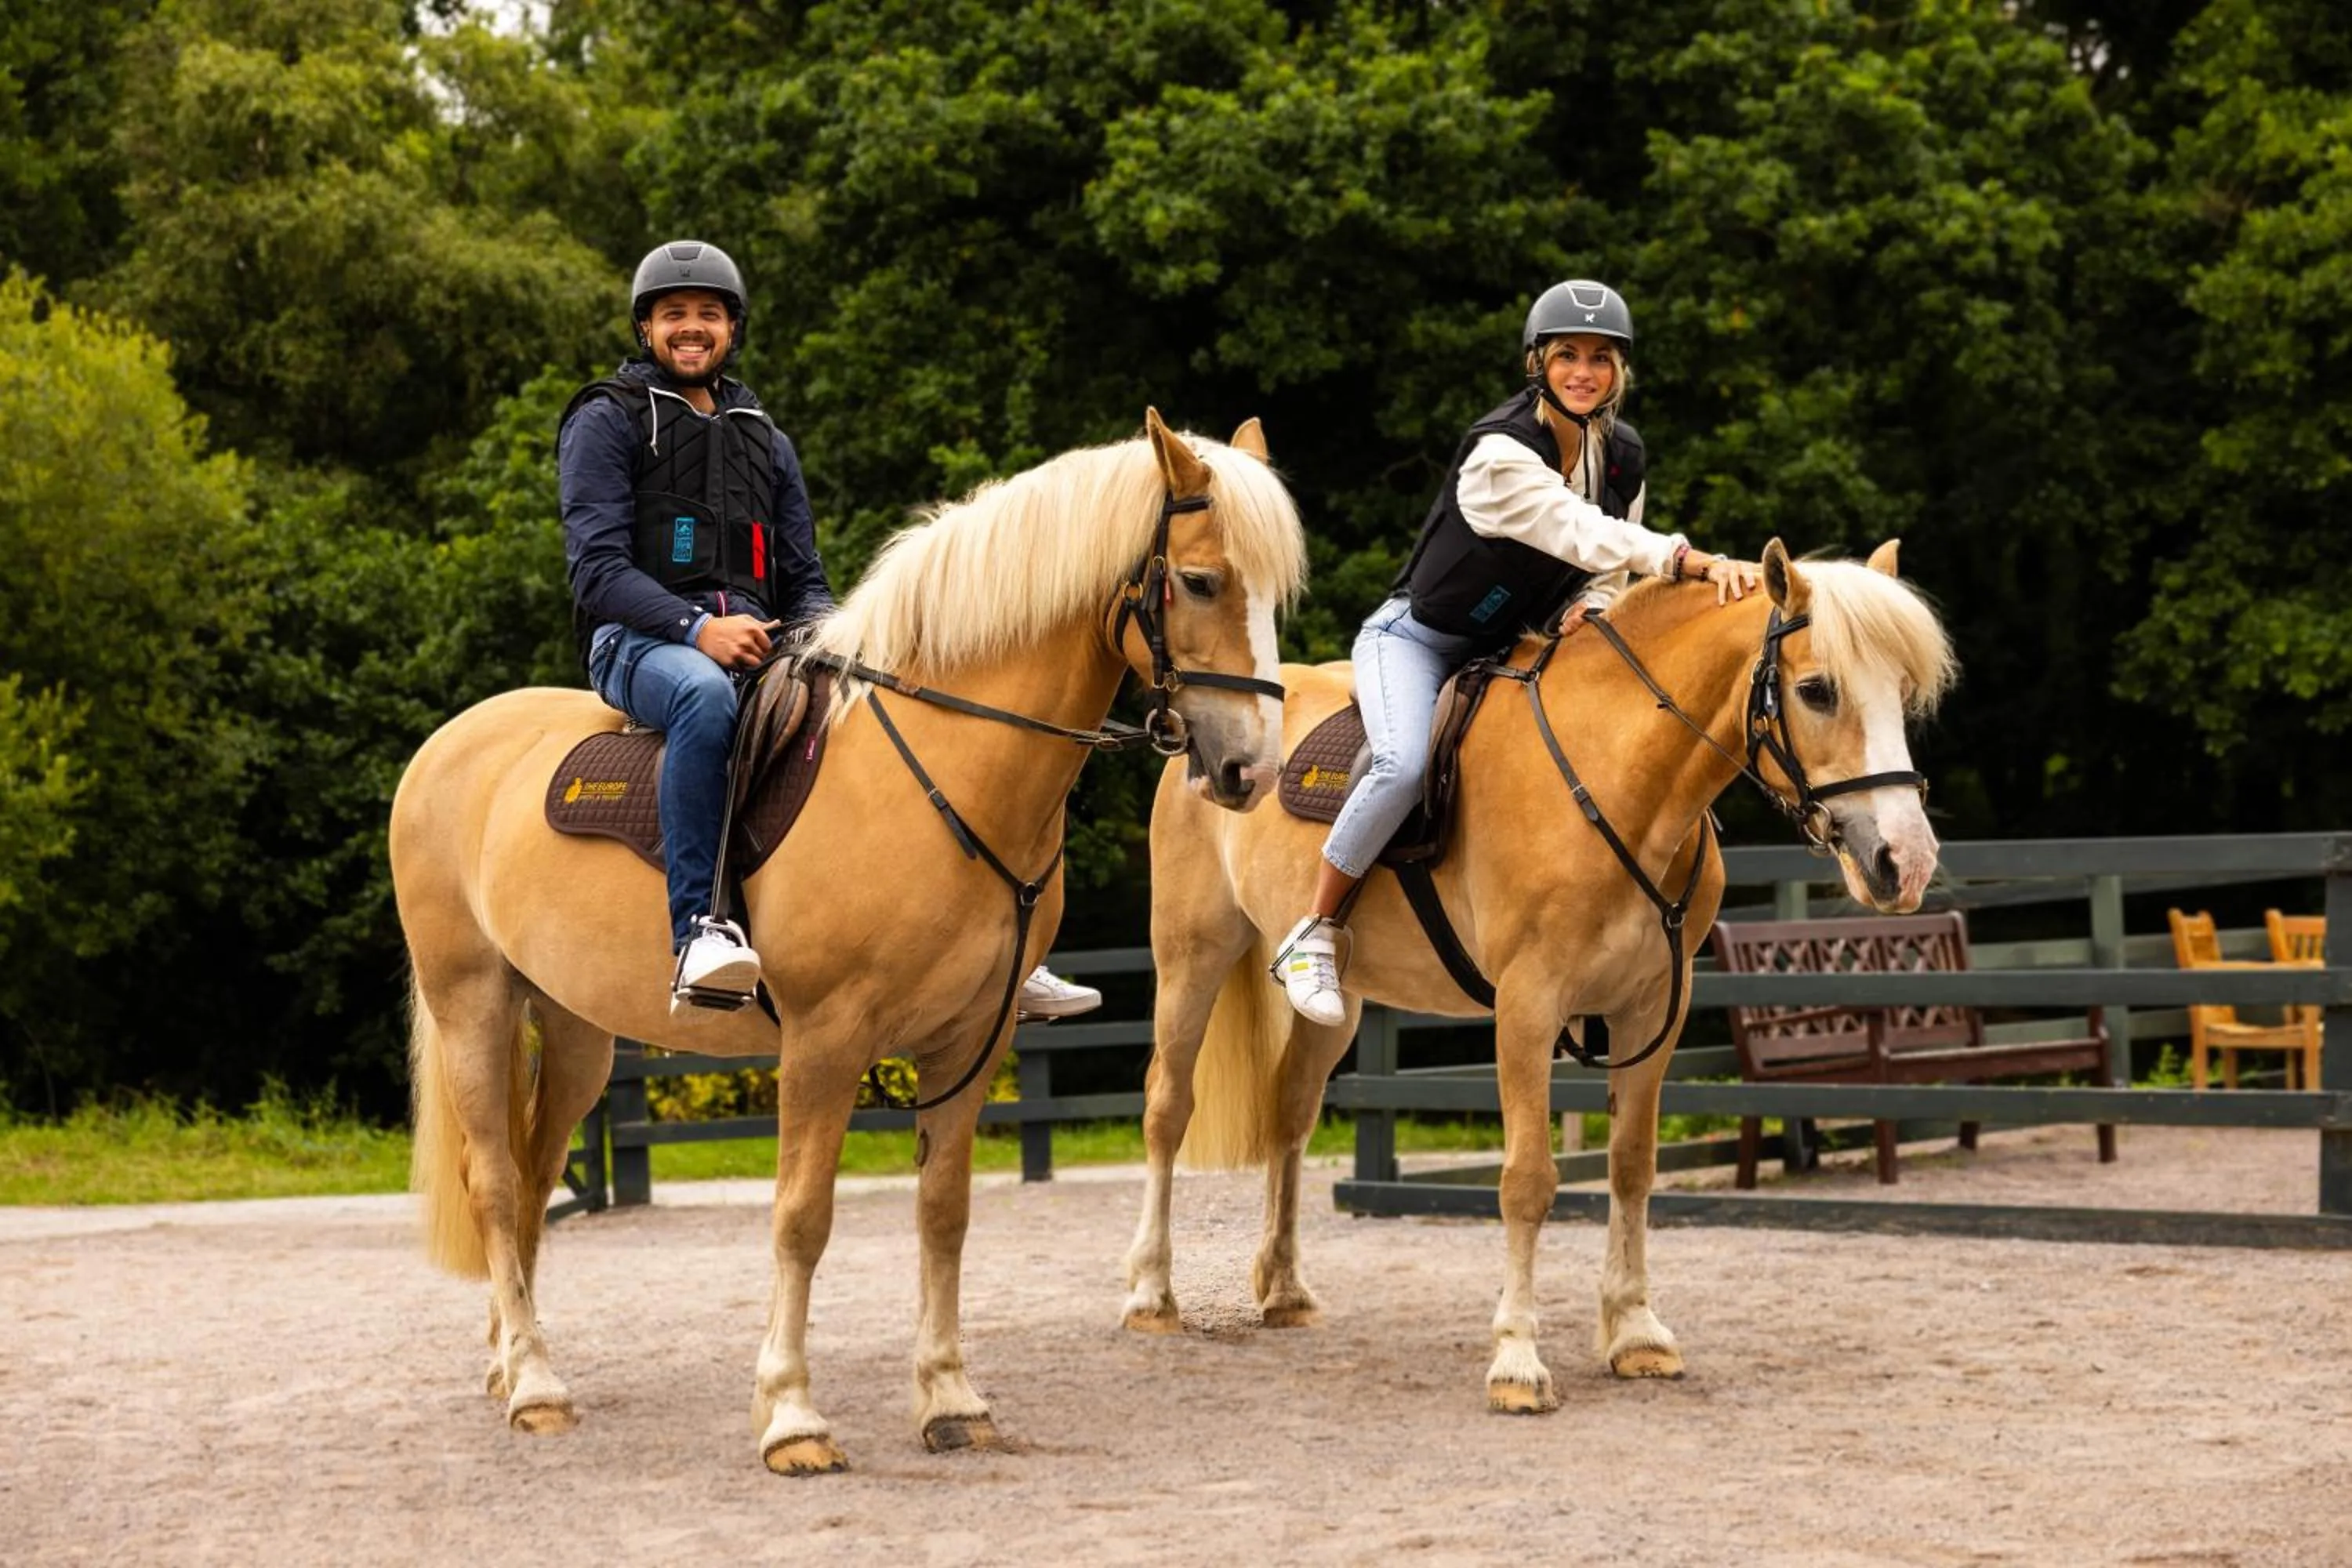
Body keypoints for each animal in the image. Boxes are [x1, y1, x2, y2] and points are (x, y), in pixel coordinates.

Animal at [392, 409, 1306, 1472]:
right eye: (1198, 581)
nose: (1249, 770)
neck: (943, 765)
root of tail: (449, 745)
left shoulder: (970, 1040)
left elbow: (944, 1210)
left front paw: (950, 1396)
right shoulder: (825, 1043)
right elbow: (802, 1217)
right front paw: (792, 1415)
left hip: (576, 1031)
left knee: (535, 1178)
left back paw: (513, 1360)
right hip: (474, 1004)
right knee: (497, 1182)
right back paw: (536, 1383)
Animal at [1124, 540, 1956, 1409]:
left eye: (1903, 693)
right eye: (1817, 689)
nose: (1905, 861)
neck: (1614, 778)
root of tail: (1215, 743)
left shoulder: (1651, 1009)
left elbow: (1632, 1166)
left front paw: (1635, 1331)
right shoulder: (1527, 1006)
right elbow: (1528, 1179)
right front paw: (1518, 1360)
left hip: (1340, 1004)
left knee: (1289, 1117)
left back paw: (1285, 1289)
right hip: (1192, 960)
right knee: (1167, 1107)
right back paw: (1152, 1292)